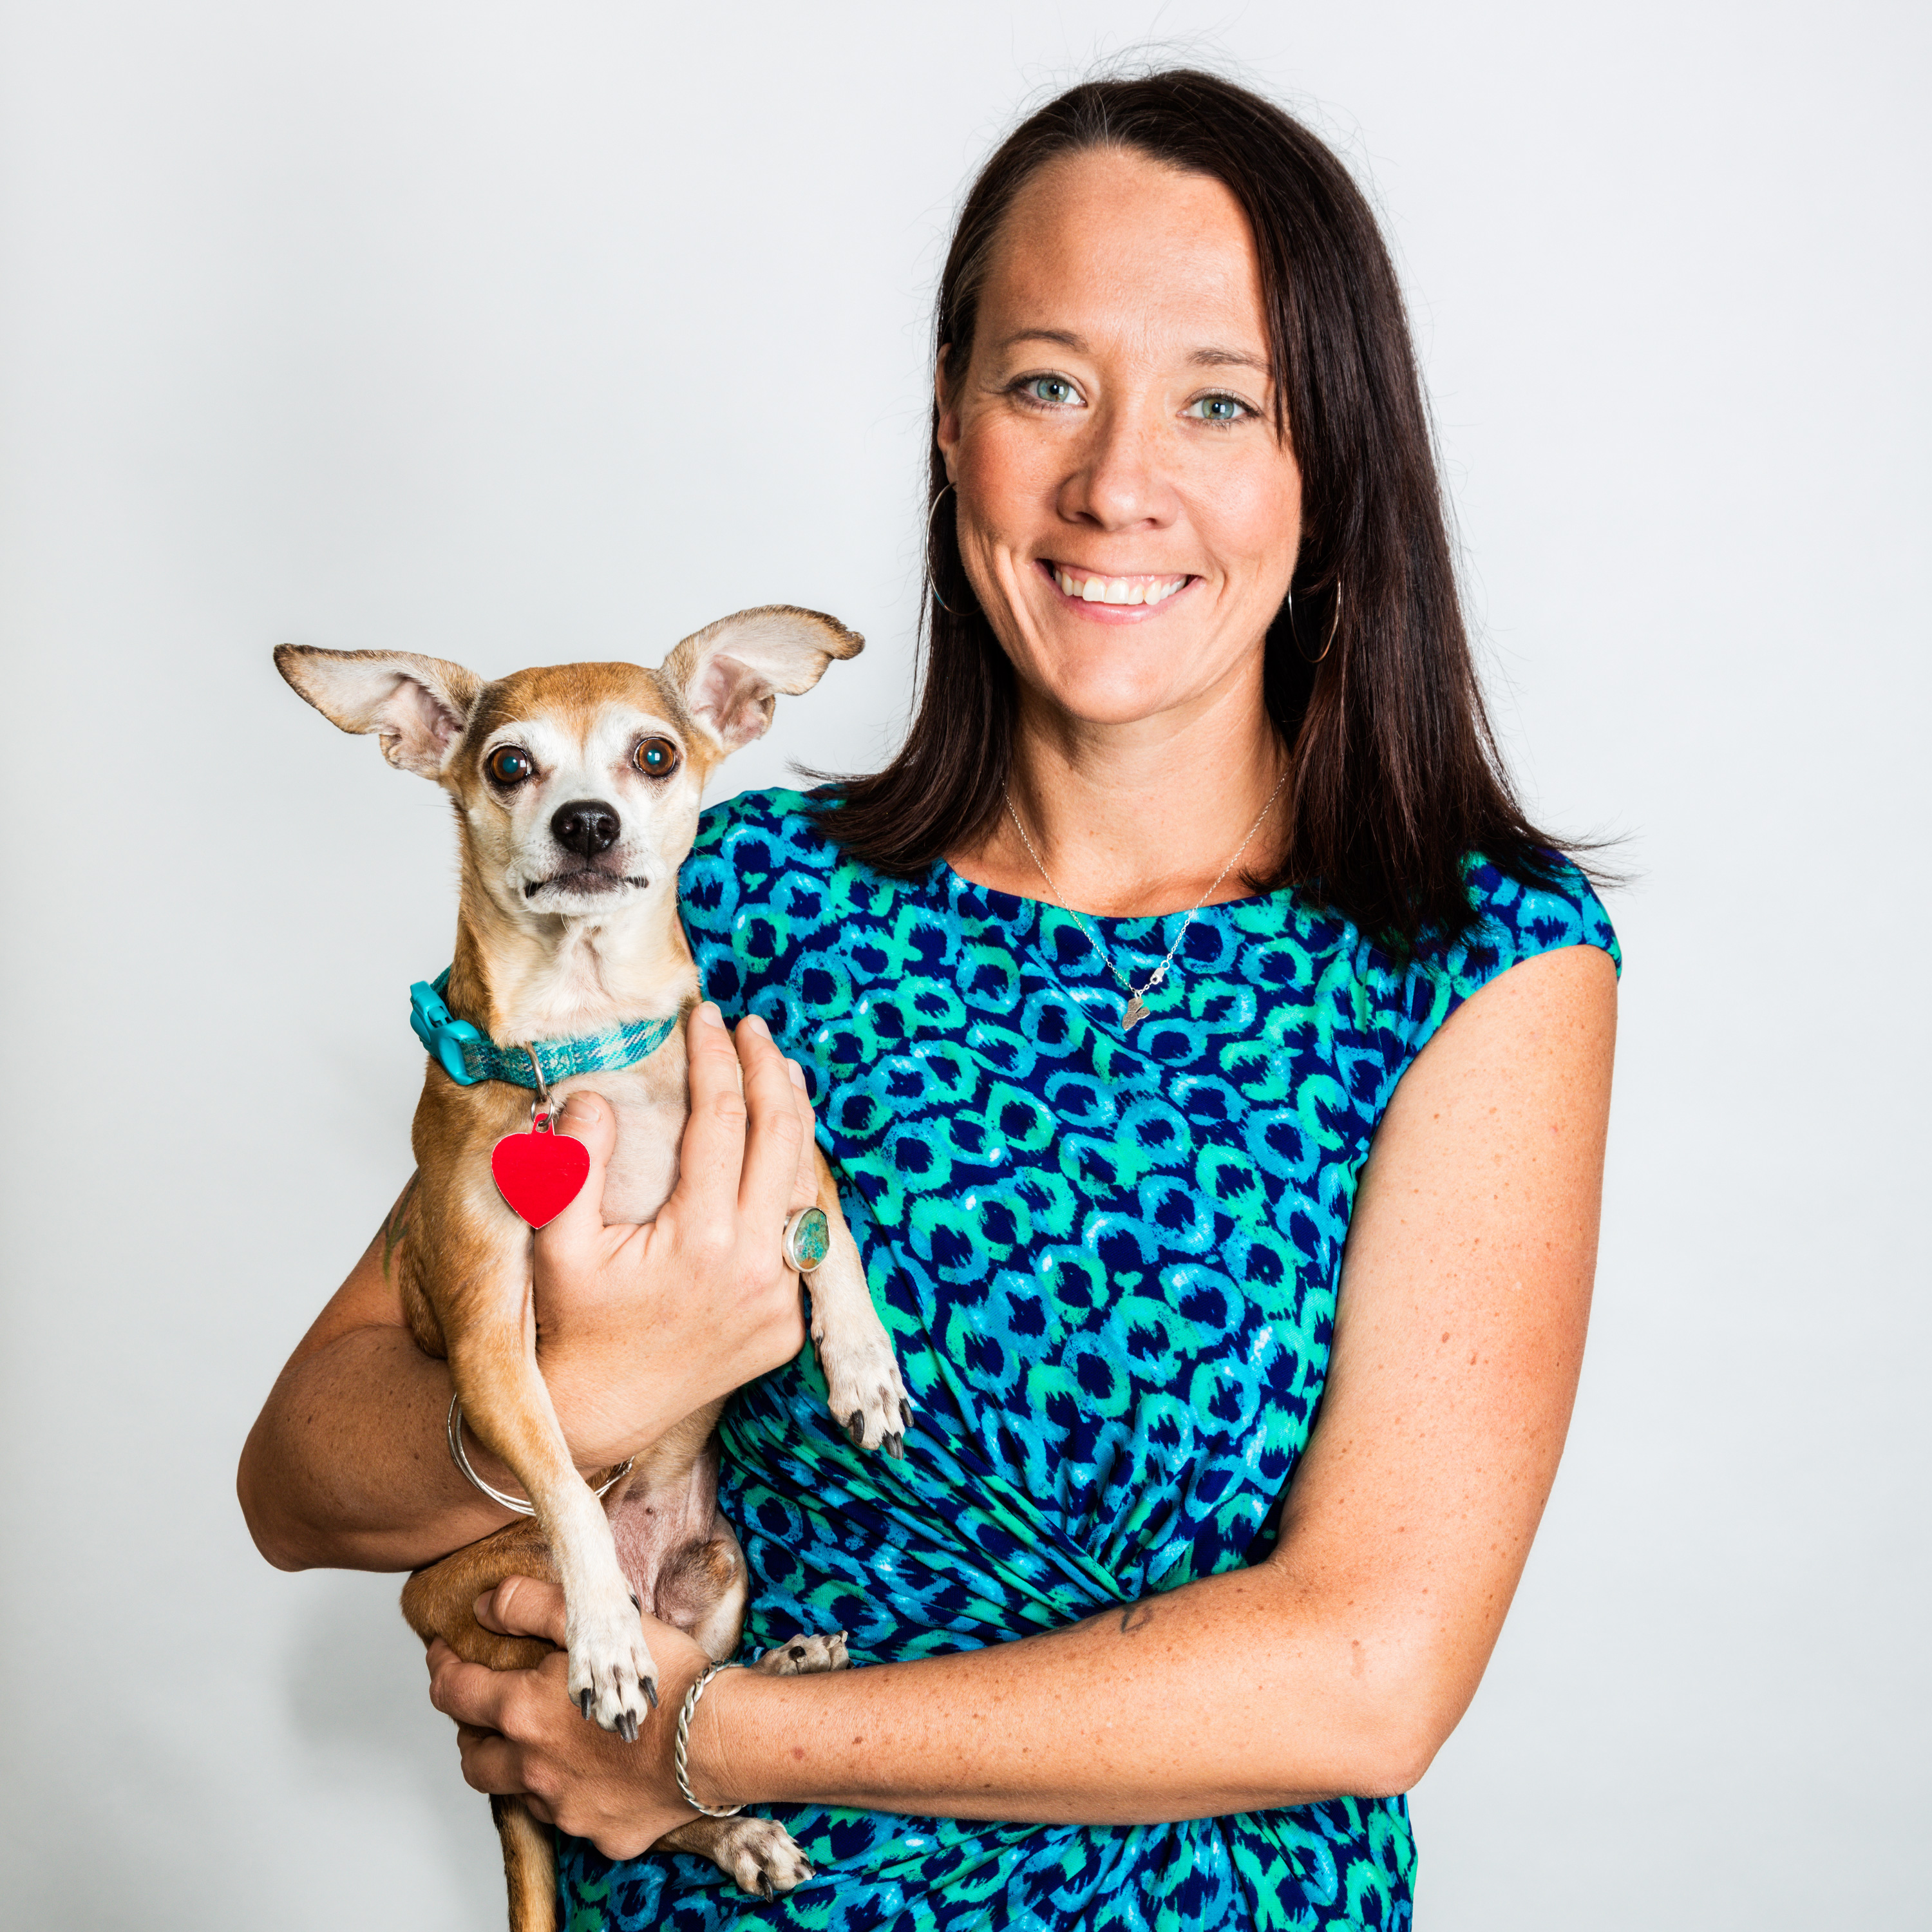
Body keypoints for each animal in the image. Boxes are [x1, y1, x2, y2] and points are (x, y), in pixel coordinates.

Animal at [274, 603, 912, 1917]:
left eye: (654, 756)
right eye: (510, 764)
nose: (585, 822)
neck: (587, 1032)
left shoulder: (779, 1135)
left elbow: (829, 1236)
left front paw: (863, 1366)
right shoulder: (488, 1341)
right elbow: (564, 1480)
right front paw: (609, 1639)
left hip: (719, 1569)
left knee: (693, 1717)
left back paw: (785, 1676)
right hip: (488, 1597)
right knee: (627, 1808)